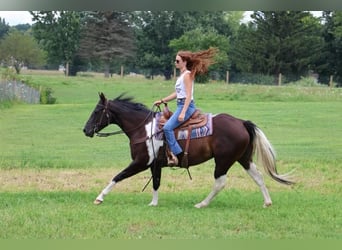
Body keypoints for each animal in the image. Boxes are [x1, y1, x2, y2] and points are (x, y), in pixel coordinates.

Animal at [83, 93, 294, 208]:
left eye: (97, 111)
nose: (86, 130)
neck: (143, 129)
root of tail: (242, 122)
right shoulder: (155, 165)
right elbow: (156, 183)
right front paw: (153, 203)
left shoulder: (141, 162)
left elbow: (117, 176)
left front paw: (99, 198)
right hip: (243, 158)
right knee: (258, 177)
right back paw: (267, 202)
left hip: (223, 161)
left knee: (220, 182)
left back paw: (202, 203)